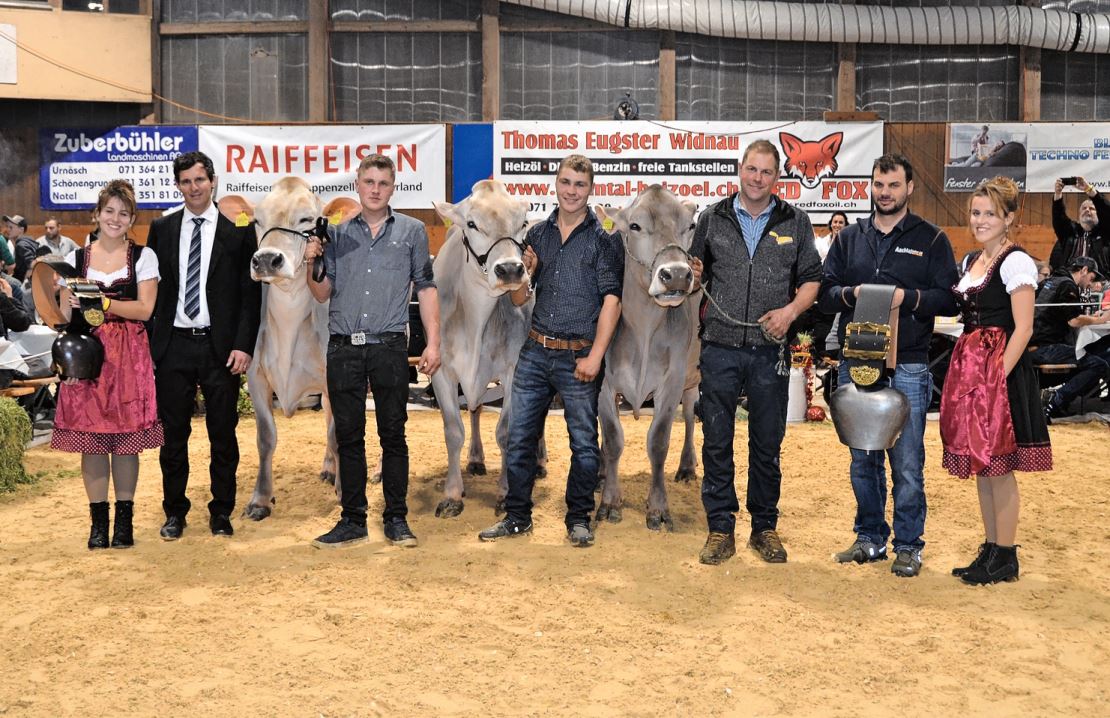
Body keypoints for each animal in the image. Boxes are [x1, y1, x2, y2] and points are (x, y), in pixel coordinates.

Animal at [594, 186, 697, 532]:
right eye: (635, 226)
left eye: (690, 226)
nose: (676, 275)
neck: (644, 331)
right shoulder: (604, 385)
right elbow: (613, 439)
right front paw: (610, 502)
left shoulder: (671, 383)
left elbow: (659, 442)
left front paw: (658, 508)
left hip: (692, 381)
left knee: (690, 417)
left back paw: (688, 467)